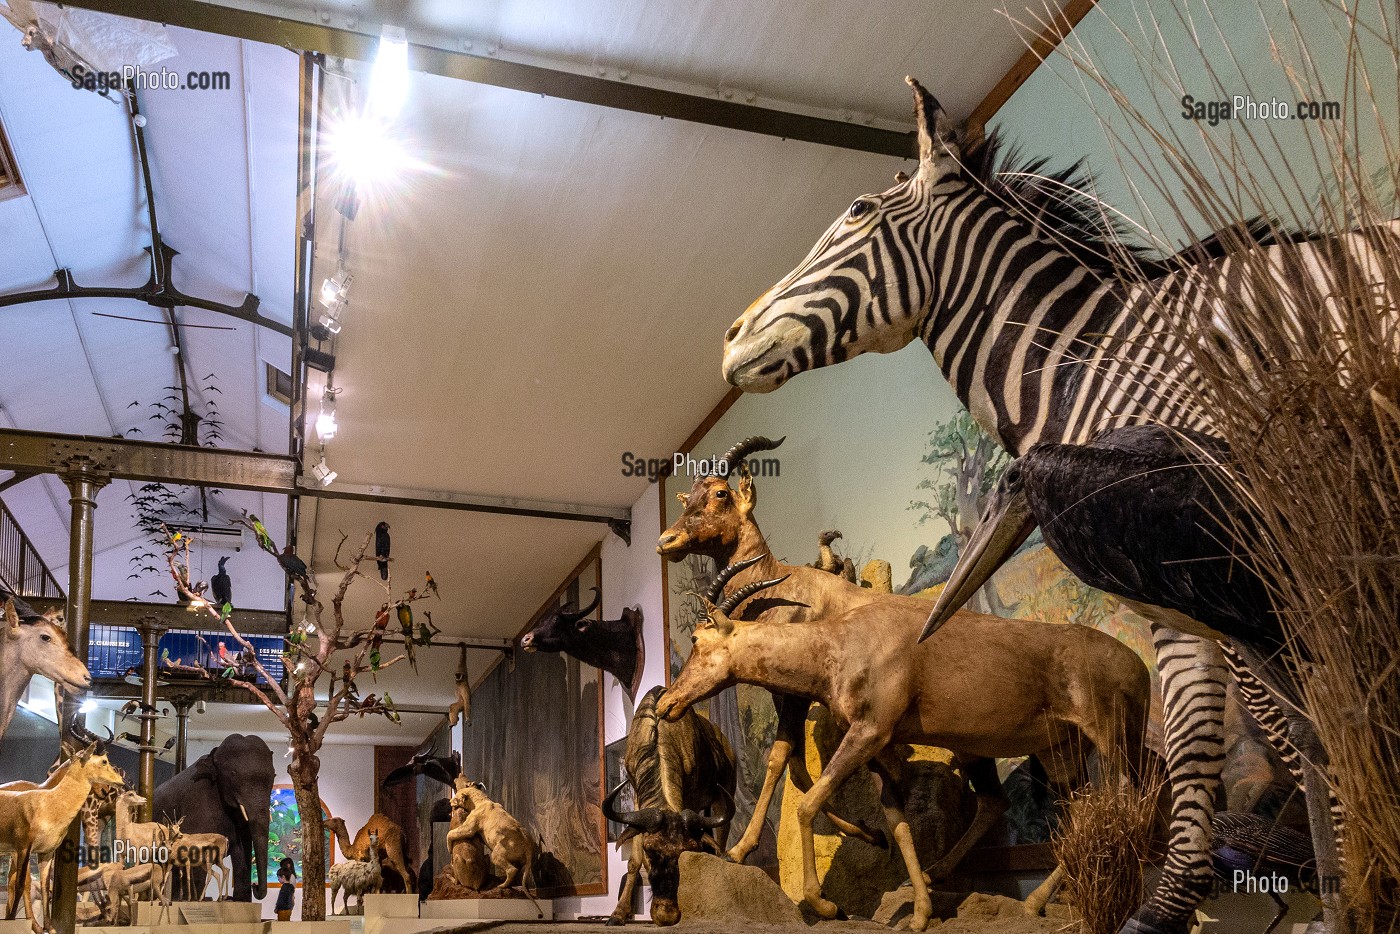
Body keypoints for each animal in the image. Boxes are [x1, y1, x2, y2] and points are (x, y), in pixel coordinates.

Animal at [0, 722, 124, 929]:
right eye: (104, 760)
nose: (105, 790)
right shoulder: (20, 849)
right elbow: (23, 882)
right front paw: (31, 924)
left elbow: (26, 883)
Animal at [153, 733, 273, 901]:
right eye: (233, 774)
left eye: (274, 775)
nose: (255, 886)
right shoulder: (198, 798)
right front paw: (195, 901)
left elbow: (242, 848)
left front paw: (240, 900)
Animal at [655, 565, 1148, 929]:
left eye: (697, 638)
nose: (665, 703)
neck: (841, 638)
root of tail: (1136, 665)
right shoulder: (877, 750)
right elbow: (898, 825)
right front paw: (921, 914)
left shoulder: (869, 733)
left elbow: (808, 806)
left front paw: (826, 905)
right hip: (1058, 752)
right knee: (1064, 810)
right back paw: (1021, 899)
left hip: (1110, 739)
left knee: (1127, 805)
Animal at [716, 78, 1394, 934]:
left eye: (861, 209)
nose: (729, 339)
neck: (1092, 360)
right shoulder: (1177, 593)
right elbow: (1200, 746)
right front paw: (1170, 905)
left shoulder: (1252, 557)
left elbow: (1297, 726)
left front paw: (1351, 891)